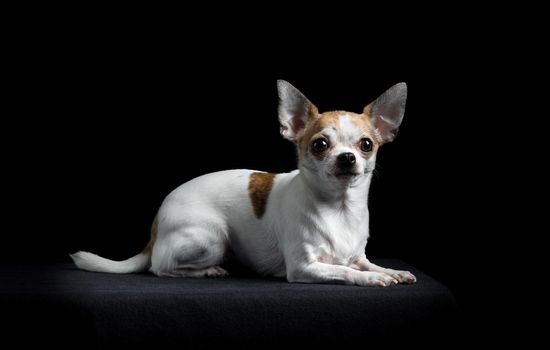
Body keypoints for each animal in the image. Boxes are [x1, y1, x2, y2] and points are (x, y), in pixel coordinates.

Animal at [72, 80, 418, 286]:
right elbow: (345, 271)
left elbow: (365, 264)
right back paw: (206, 270)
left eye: (366, 145)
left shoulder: (359, 256)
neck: (339, 209)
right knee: (160, 265)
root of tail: (156, 225)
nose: (347, 157)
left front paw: (391, 271)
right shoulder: (303, 268)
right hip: (212, 238)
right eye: (320, 145)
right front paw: (371, 280)